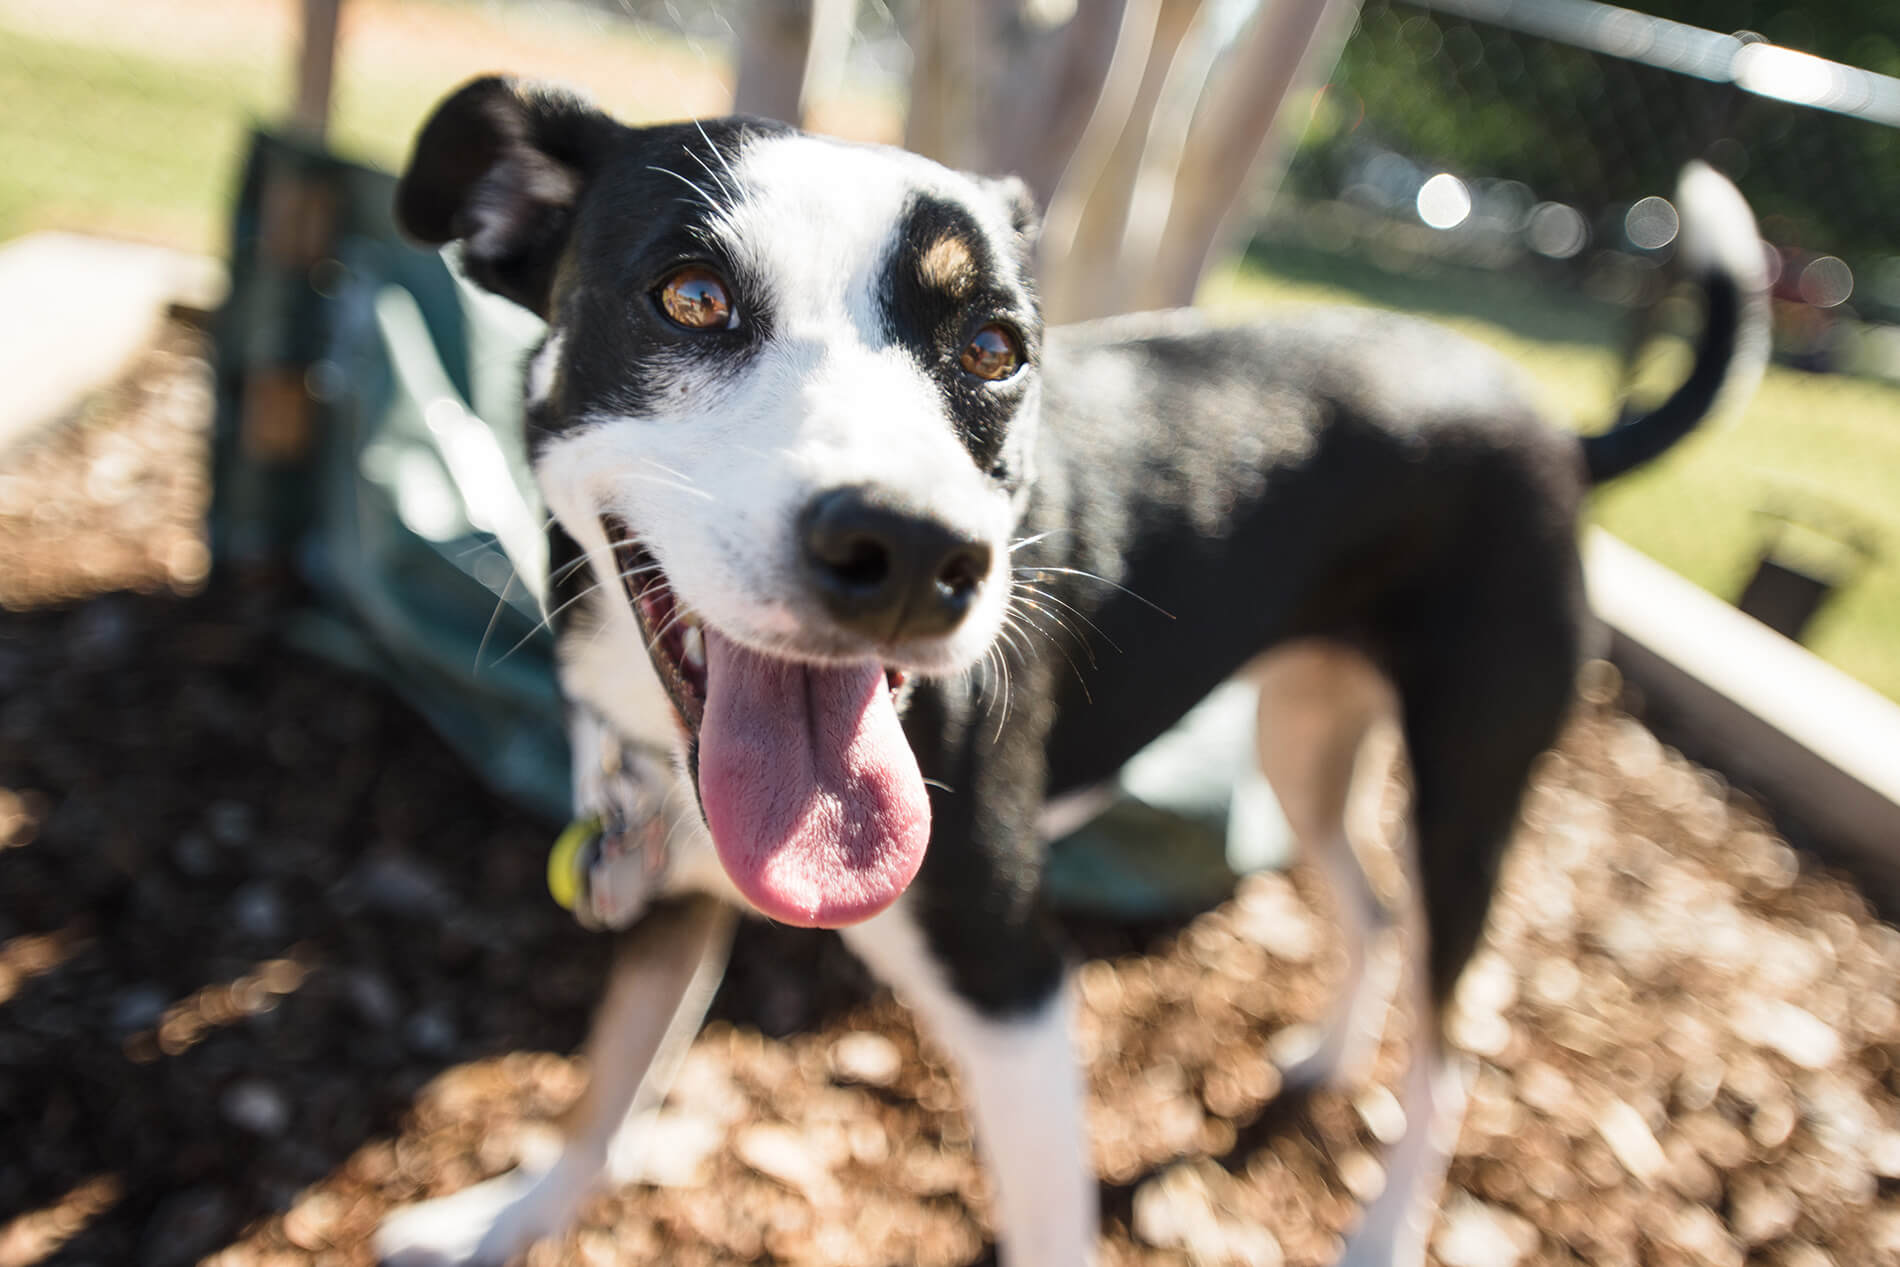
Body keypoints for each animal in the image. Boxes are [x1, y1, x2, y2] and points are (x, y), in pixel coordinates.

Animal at [370, 76, 1763, 1267]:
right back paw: (1320, 1063)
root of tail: (1550, 420)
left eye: (994, 346)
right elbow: (609, 1078)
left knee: (1453, 1033)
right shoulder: (673, 887)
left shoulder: (1015, 990)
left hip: (1469, 784)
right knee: (1367, 908)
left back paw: (1380, 1228)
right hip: (1304, 738)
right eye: (692, 297)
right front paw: (510, 1218)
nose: (914, 551)